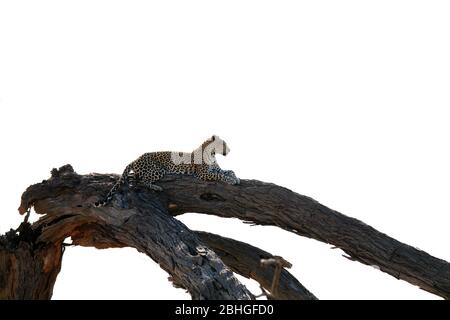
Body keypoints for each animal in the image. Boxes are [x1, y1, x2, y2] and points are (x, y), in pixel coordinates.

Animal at [96, 134, 239, 206]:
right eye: (223, 144)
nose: (230, 150)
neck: (212, 154)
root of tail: (136, 159)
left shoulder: (216, 169)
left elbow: (229, 171)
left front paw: (235, 178)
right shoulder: (203, 174)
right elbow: (221, 176)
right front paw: (232, 181)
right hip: (158, 170)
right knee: (141, 180)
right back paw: (157, 188)